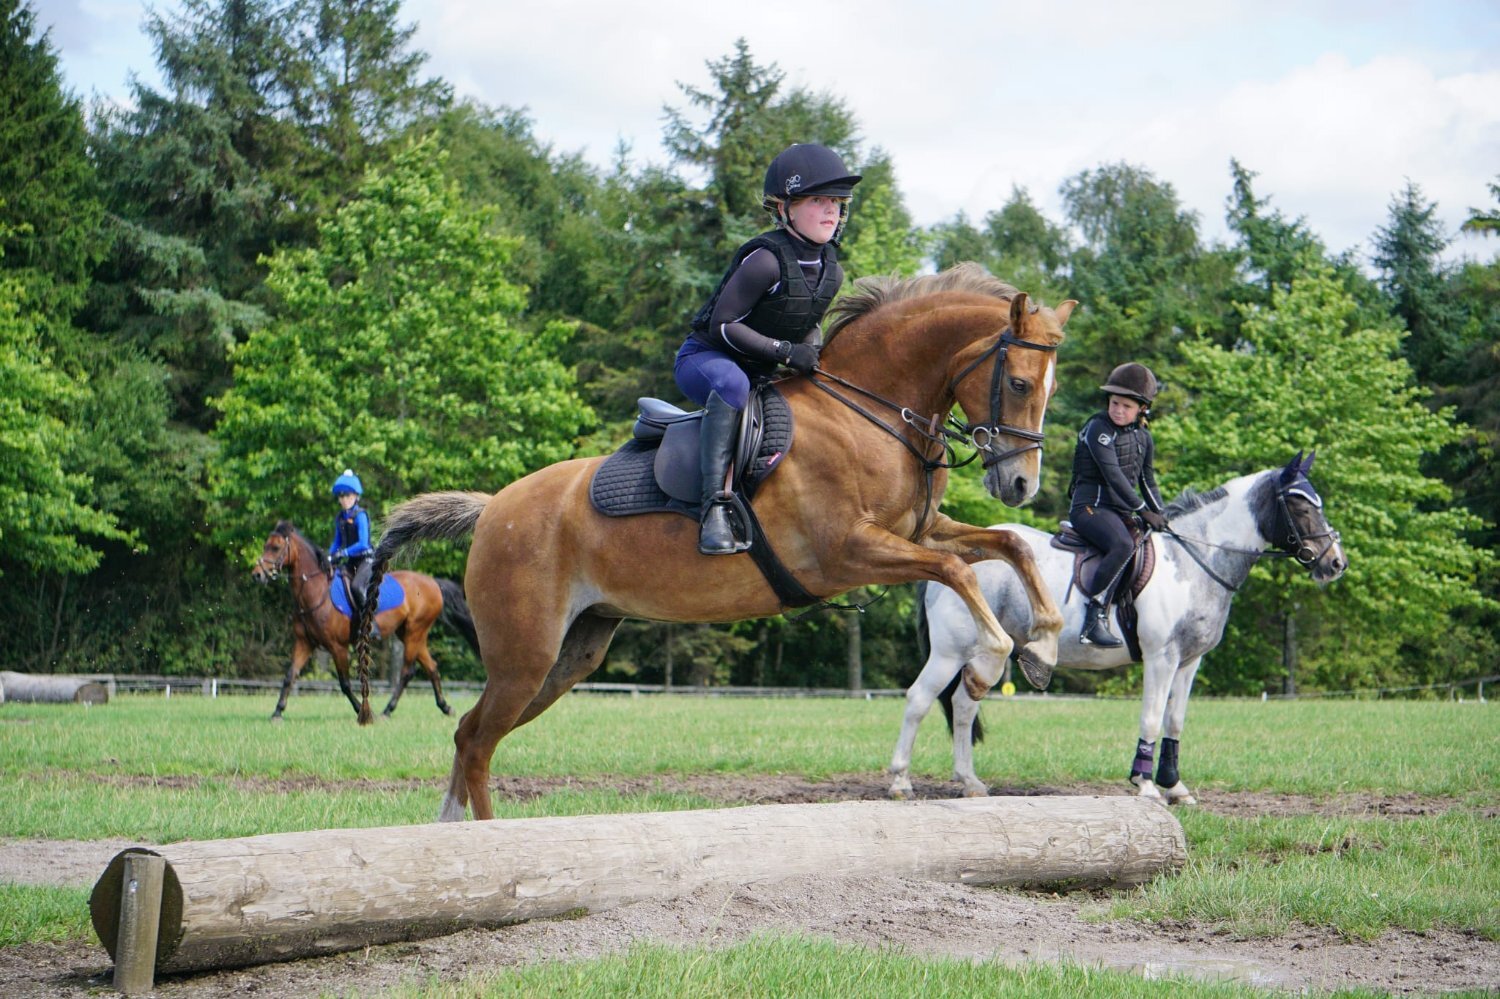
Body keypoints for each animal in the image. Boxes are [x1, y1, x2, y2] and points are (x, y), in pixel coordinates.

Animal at [250, 521, 481, 721]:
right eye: (265, 546)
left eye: (276, 547)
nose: (257, 575)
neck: (316, 593)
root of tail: (433, 583)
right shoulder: (304, 643)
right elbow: (290, 675)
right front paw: (277, 712)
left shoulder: (338, 646)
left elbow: (344, 683)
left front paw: (360, 710)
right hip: (410, 634)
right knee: (431, 667)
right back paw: (445, 707)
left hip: (415, 631)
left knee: (407, 672)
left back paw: (388, 710)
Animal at [354, 264, 1078, 821]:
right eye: (1018, 382)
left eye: (1050, 387)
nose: (1020, 482)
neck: (867, 413)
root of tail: (493, 508)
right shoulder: (849, 551)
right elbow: (958, 570)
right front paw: (994, 657)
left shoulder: (915, 531)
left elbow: (1005, 545)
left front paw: (1043, 643)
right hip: (524, 655)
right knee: (478, 741)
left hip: (570, 656)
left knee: (468, 733)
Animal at [888, 452, 1347, 804]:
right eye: (1302, 506)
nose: (1335, 563)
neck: (1193, 560)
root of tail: (952, 562)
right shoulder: (1162, 658)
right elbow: (1152, 717)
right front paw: (1145, 786)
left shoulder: (1190, 662)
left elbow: (1175, 721)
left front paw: (1175, 787)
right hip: (951, 651)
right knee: (919, 700)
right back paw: (900, 782)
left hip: (988, 652)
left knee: (964, 706)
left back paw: (970, 783)